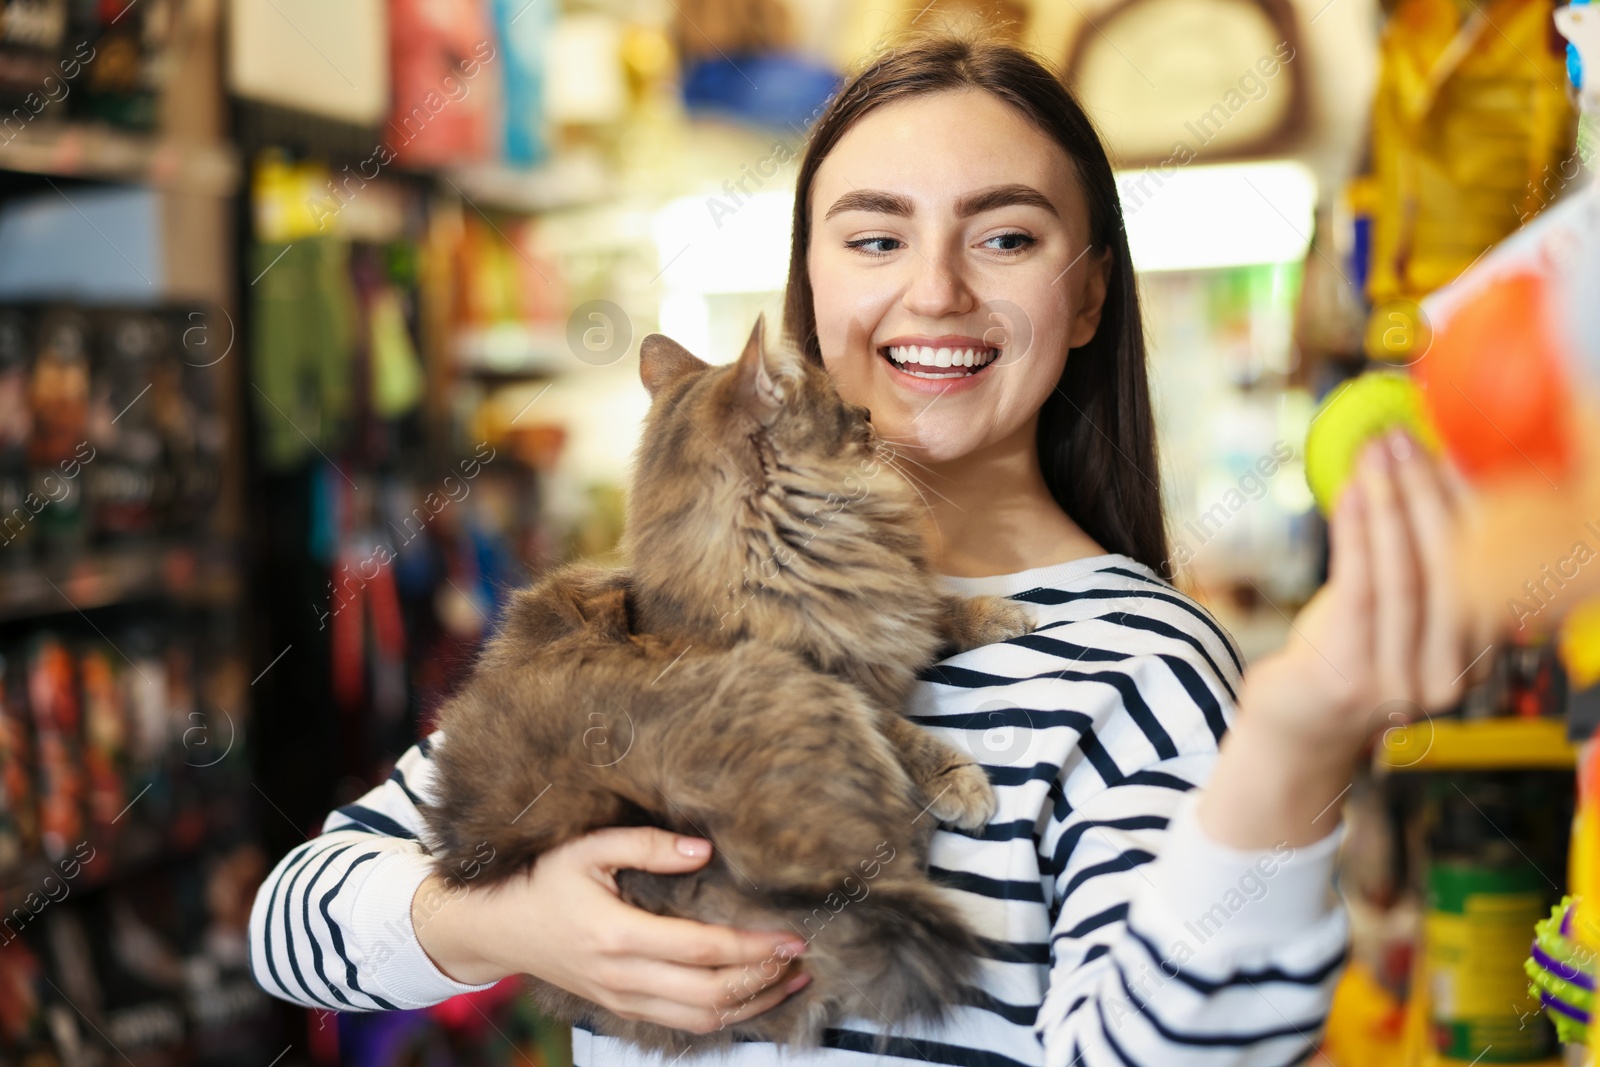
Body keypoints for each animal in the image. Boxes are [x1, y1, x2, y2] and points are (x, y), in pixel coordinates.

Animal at [419, 316, 1030, 1049]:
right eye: (833, 404)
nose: (866, 413)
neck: (792, 554)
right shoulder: (834, 677)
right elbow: (903, 727)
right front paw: (959, 780)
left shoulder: (876, 610)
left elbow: (932, 609)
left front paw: (1000, 612)